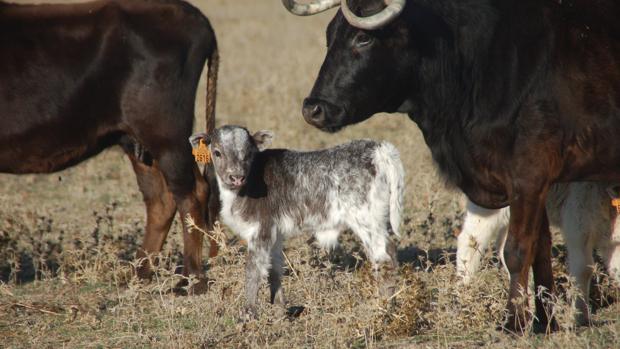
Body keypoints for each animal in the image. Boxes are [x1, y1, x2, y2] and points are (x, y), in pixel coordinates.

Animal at [0, 0, 220, 290]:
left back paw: (191, 280)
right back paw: (139, 274)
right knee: (161, 199)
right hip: (139, 143)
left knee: (191, 194)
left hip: (167, 137)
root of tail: (192, 13)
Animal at [189, 125, 404, 312]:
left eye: (249, 153)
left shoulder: (261, 229)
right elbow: (275, 268)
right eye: (217, 152)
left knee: (383, 256)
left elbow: (253, 270)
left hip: (365, 216)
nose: (236, 177)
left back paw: (383, 307)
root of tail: (379, 148)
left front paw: (248, 314)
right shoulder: (275, 233)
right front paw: (280, 311)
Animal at [456, 181, 620, 324]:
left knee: (507, 249)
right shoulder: (577, 226)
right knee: (470, 239)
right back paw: (464, 290)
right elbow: (584, 269)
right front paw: (580, 316)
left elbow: (616, 268)